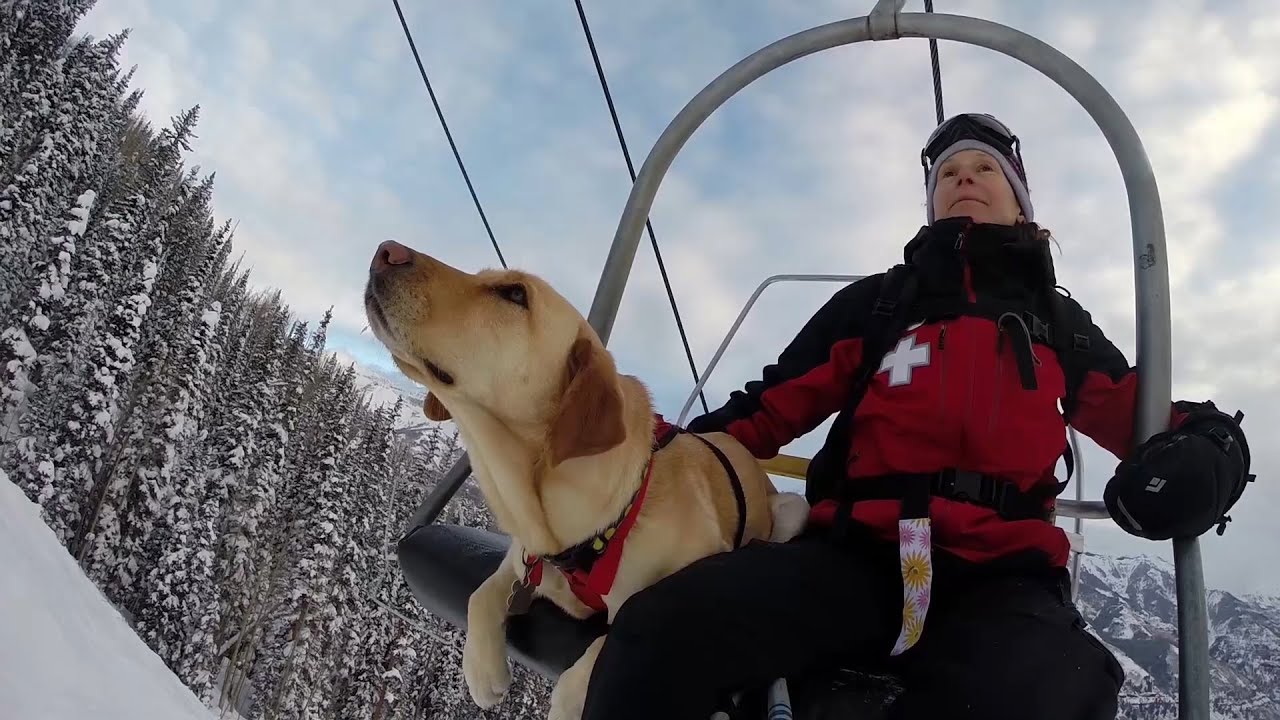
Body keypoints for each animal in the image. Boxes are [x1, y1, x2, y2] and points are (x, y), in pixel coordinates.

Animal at [360, 239, 803, 712]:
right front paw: (482, 672)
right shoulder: (522, 558)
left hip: (792, 510)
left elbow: (588, 666)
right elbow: (481, 594)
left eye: (515, 294)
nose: (386, 250)